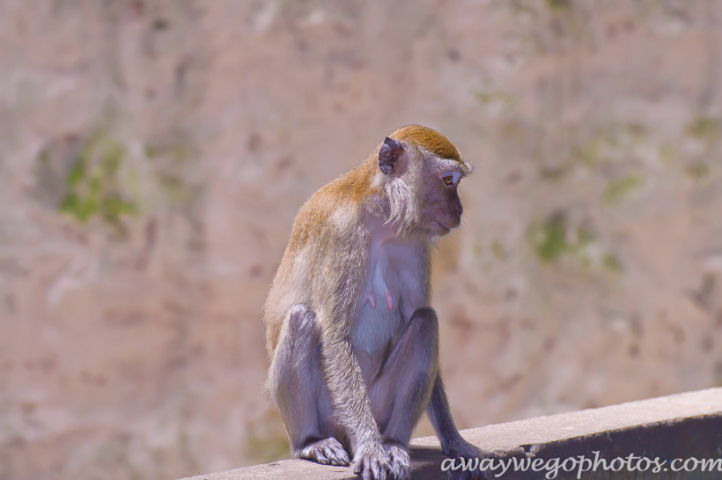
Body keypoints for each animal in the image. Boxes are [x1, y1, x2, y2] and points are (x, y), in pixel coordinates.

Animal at [262, 125, 478, 478]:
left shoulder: (414, 245)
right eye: (448, 180)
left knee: (425, 322)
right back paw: (313, 441)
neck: (382, 217)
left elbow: (415, 315)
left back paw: (392, 442)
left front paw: (453, 439)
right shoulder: (342, 235)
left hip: (377, 405)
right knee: (301, 318)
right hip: (336, 412)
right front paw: (370, 448)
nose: (458, 210)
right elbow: (335, 334)